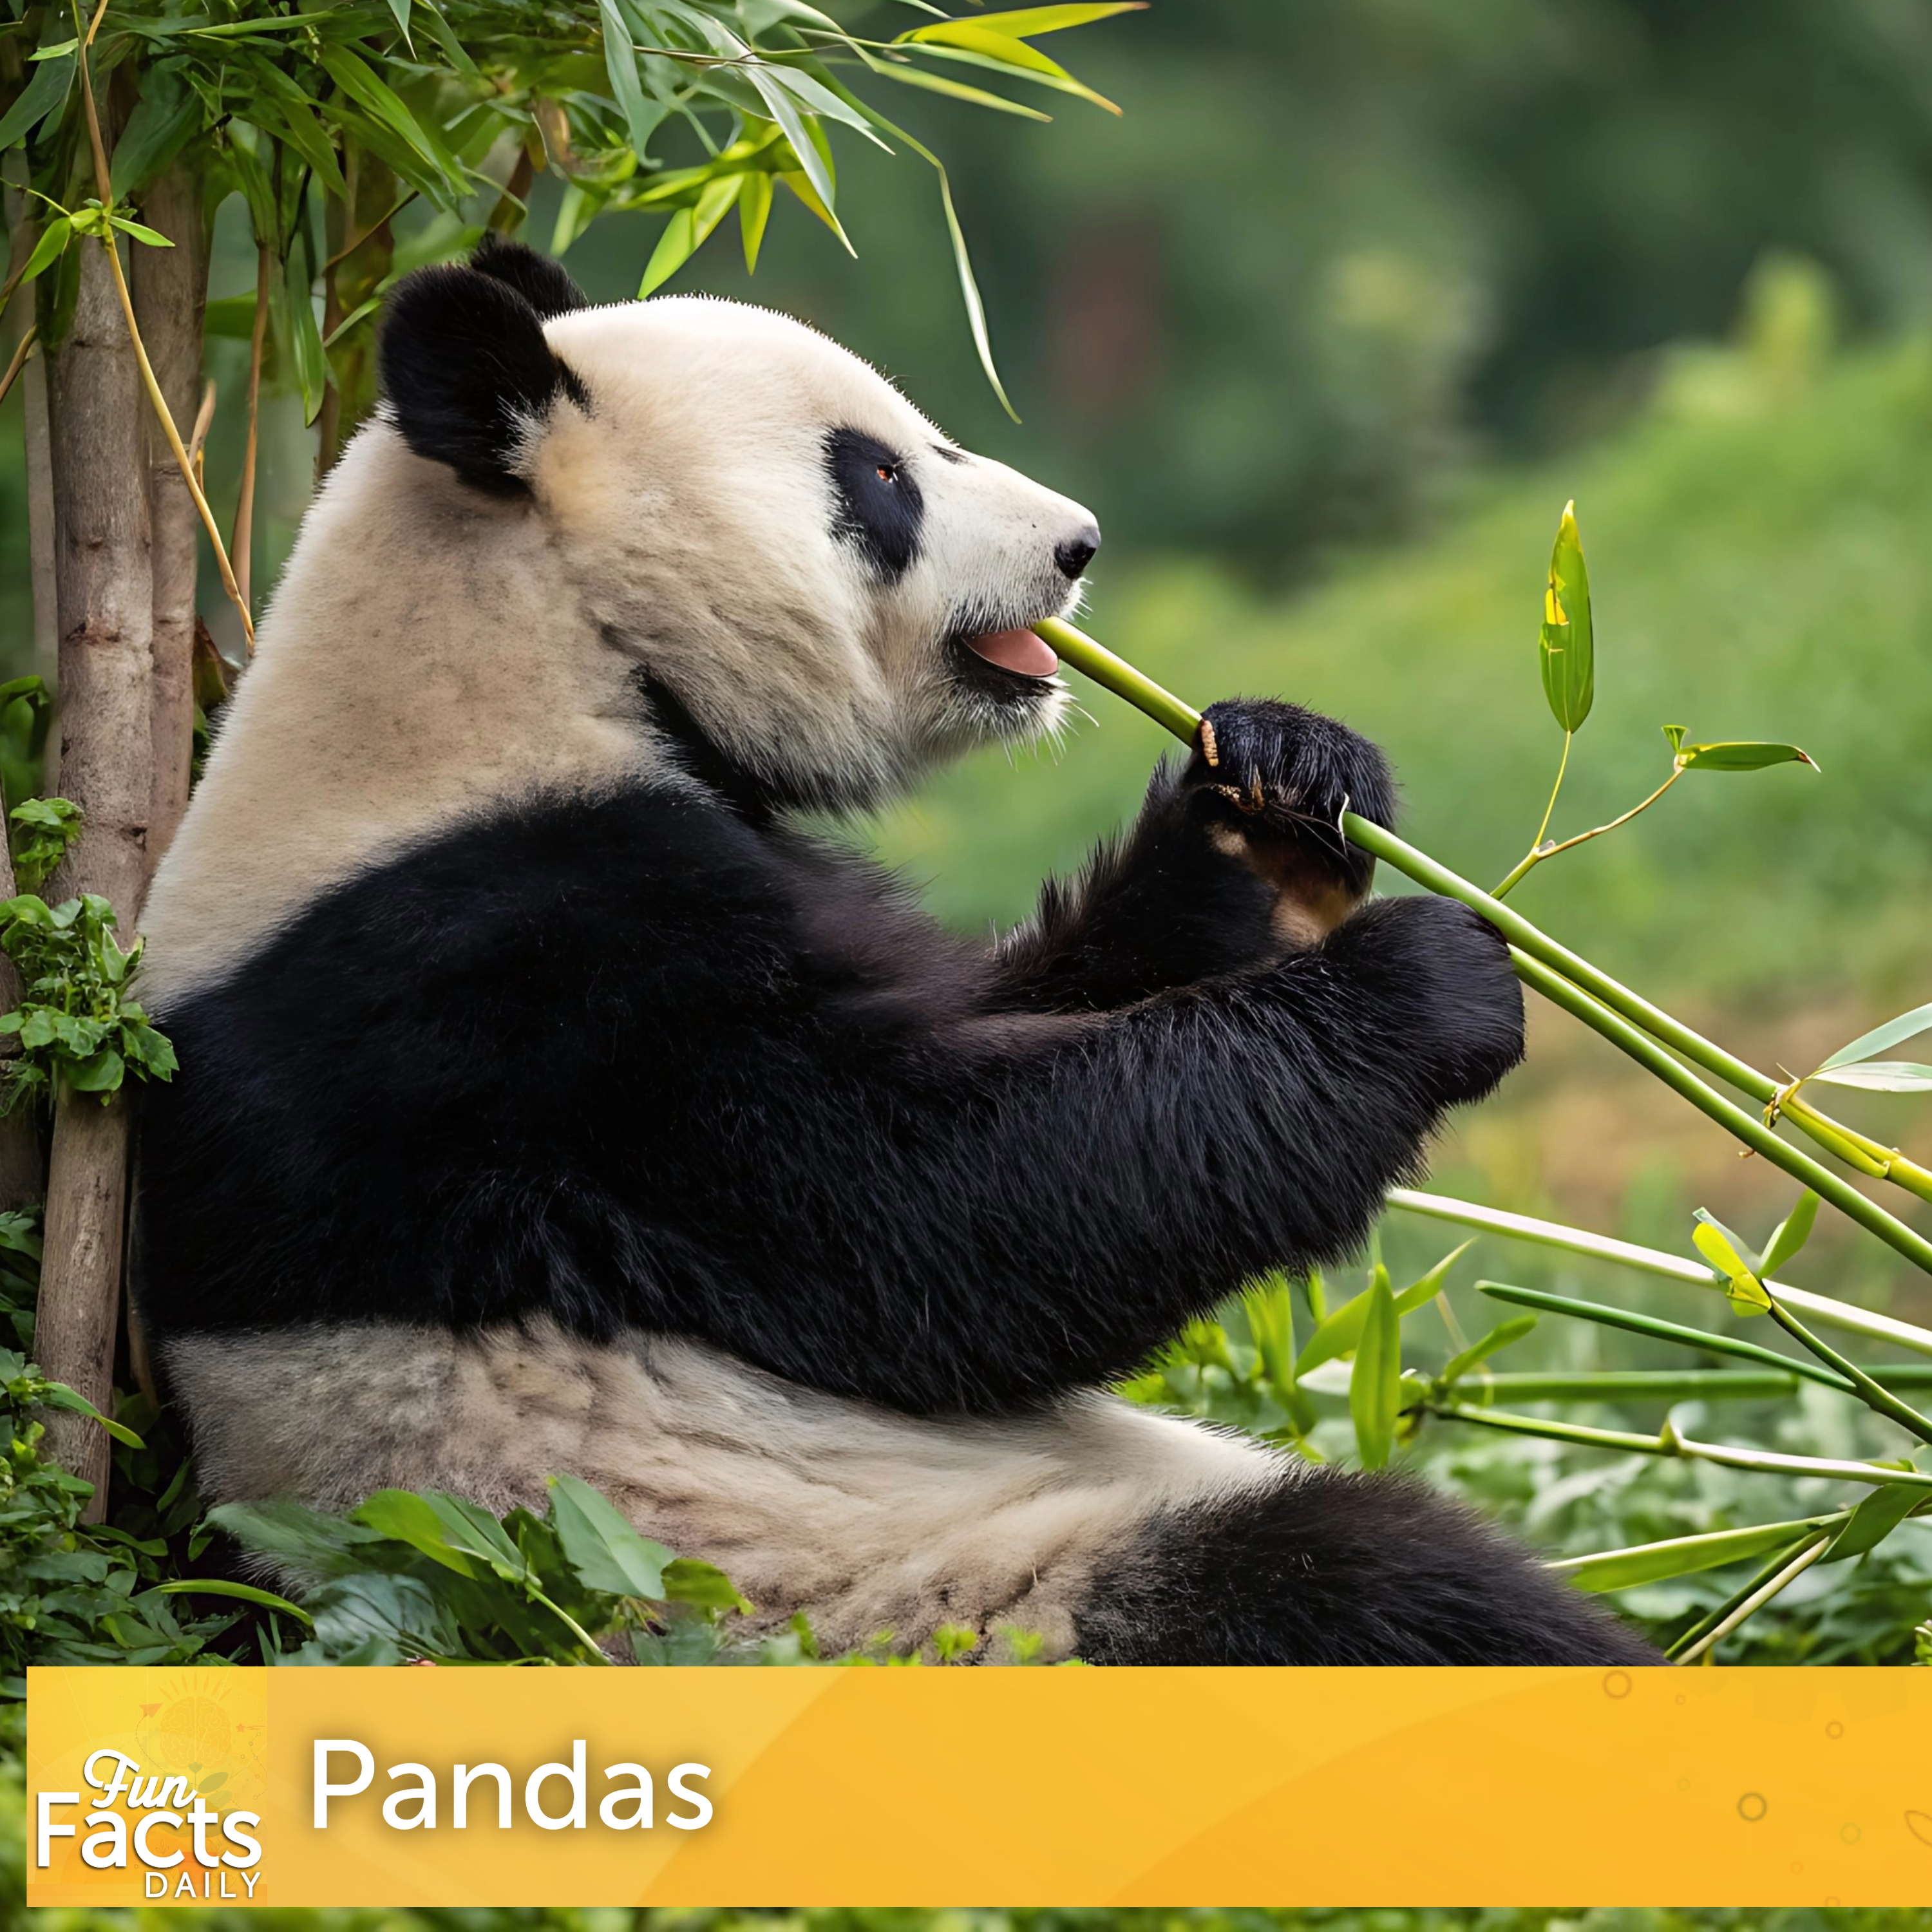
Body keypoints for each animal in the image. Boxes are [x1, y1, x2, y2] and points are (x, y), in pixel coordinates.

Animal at [133, 237, 1654, 1667]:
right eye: (877, 475)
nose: (1079, 544)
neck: (523, 650)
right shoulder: (523, 992)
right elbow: (946, 1215)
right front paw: (1427, 980)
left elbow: (1019, 1008)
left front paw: (1277, 790)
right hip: (903, 1600)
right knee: (1358, 1591)